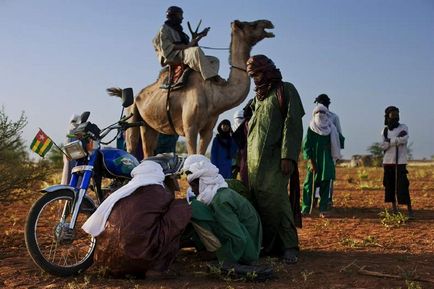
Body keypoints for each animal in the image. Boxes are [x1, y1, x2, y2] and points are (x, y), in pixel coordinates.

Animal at [116, 19, 272, 158]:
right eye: (251, 24)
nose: (268, 23)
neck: (214, 96)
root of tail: (136, 96)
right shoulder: (190, 127)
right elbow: (192, 156)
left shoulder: (208, 129)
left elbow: (202, 156)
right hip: (132, 115)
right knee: (131, 146)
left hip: (149, 125)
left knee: (147, 151)